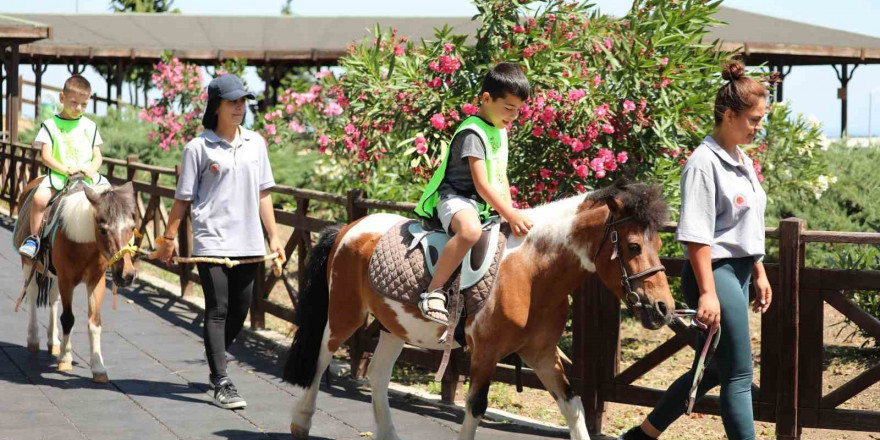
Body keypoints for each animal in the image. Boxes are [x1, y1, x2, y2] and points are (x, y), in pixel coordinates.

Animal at [14, 177, 139, 384]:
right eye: (103, 230)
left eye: (132, 228)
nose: (126, 275)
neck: (83, 241)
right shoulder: (67, 279)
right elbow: (68, 319)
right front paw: (65, 359)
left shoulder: (96, 281)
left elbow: (94, 322)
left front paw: (98, 367)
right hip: (29, 264)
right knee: (31, 293)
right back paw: (33, 339)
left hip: (54, 274)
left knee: (53, 298)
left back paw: (53, 341)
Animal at [282, 180, 672, 440]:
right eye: (634, 246)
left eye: (659, 244)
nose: (664, 308)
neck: (531, 271)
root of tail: (349, 227)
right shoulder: (485, 352)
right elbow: (475, 409)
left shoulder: (542, 353)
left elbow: (573, 406)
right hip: (345, 314)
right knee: (320, 357)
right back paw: (300, 423)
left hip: (393, 326)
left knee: (378, 374)